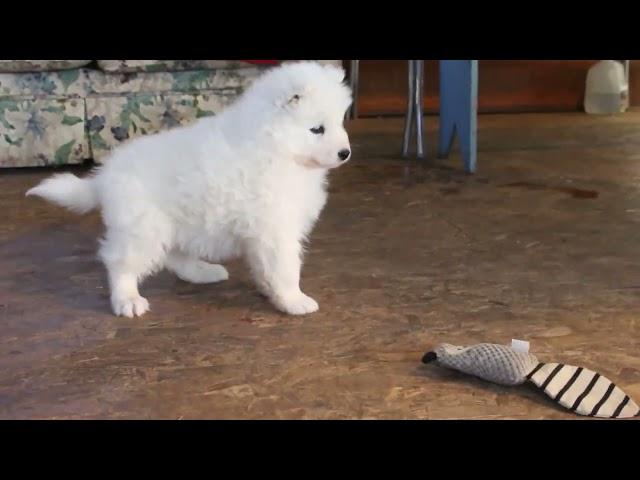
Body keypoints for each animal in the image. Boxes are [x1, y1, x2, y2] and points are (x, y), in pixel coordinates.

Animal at [27, 62, 352, 318]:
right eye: (317, 129)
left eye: (339, 123)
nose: (345, 153)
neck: (275, 144)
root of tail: (104, 176)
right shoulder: (275, 228)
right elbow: (285, 268)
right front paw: (294, 301)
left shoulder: (261, 229)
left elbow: (265, 266)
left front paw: (268, 289)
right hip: (143, 228)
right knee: (120, 263)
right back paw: (127, 300)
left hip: (178, 222)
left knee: (174, 256)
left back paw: (204, 272)